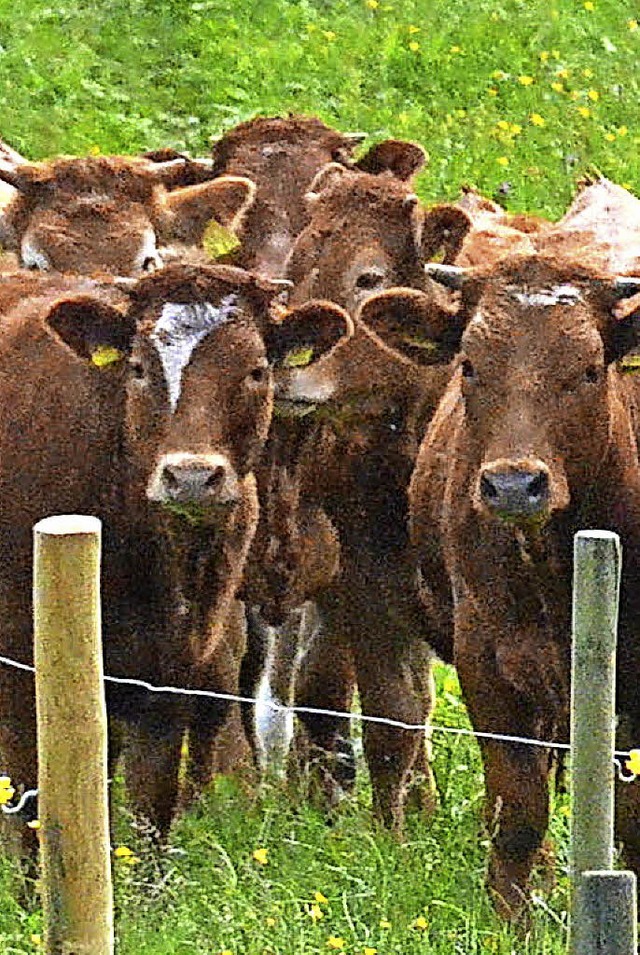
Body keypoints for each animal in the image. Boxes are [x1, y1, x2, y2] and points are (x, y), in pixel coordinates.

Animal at [0, 258, 350, 848]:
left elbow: (150, 818)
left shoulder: (171, 676)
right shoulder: (22, 675)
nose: (190, 476)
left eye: (257, 370)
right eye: (139, 368)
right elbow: (33, 817)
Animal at [410, 252, 640, 920]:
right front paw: (511, 918)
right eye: (469, 364)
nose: (514, 485)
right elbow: (519, 806)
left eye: (588, 370)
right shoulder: (485, 660)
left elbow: (631, 814)